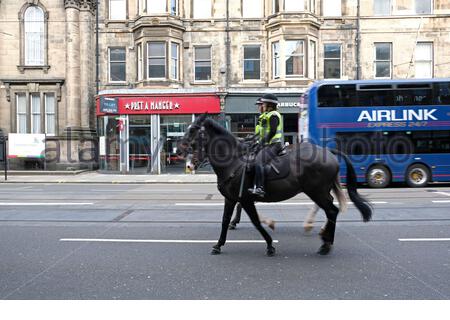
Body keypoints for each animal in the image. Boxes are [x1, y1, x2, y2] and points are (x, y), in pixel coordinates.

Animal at [178, 114, 370, 255]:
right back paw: (324, 237)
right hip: (319, 192)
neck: (234, 161)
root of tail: (327, 152)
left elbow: (255, 221)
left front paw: (270, 244)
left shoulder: (245, 199)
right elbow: (225, 221)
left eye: (193, 130)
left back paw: (325, 244)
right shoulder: (231, 198)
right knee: (330, 210)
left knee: (331, 211)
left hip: (317, 191)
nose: (182, 156)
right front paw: (218, 245)